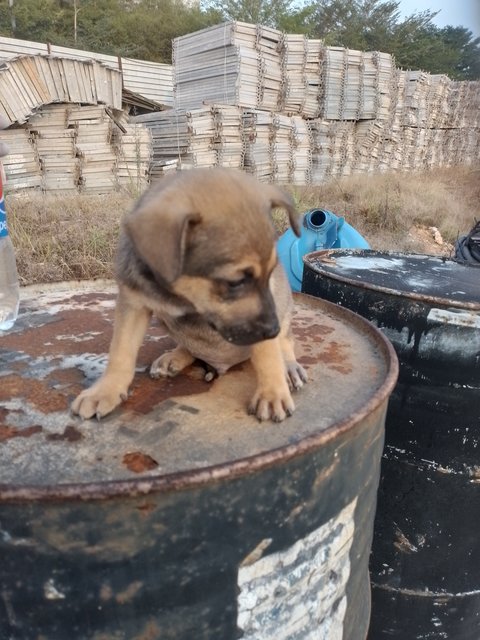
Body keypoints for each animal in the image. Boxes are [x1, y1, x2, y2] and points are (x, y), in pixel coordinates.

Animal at [71, 168, 308, 422]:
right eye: (235, 283)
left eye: (271, 272)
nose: (272, 330)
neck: (182, 296)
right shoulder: (133, 303)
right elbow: (120, 351)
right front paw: (105, 390)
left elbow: (268, 355)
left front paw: (272, 394)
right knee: (190, 347)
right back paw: (174, 357)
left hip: (285, 309)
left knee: (286, 342)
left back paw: (289, 367)